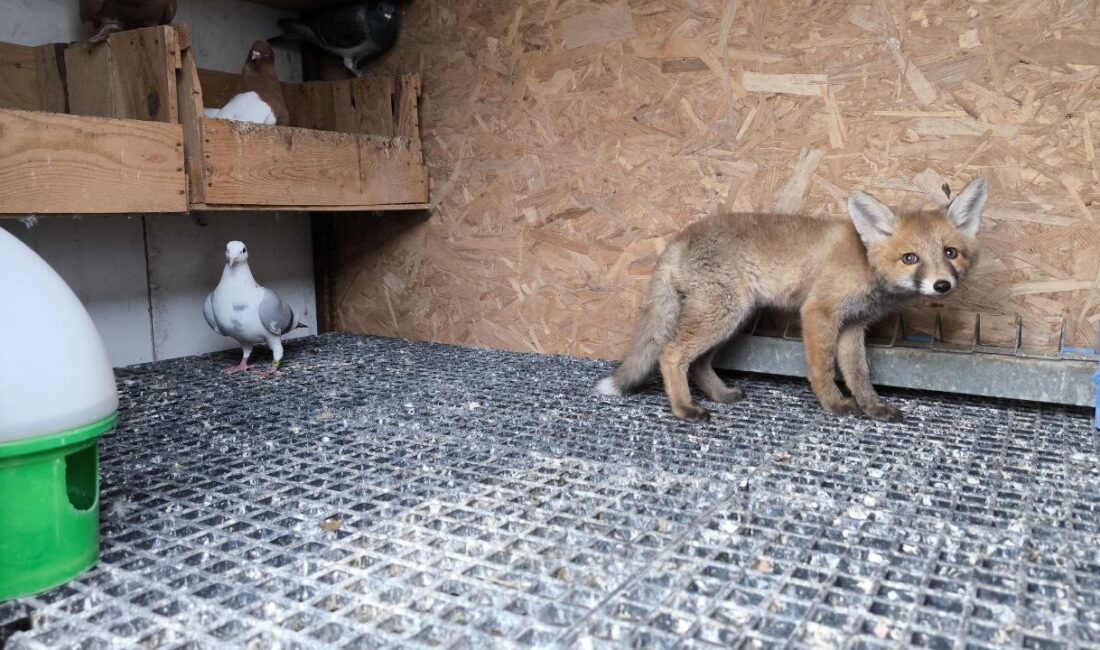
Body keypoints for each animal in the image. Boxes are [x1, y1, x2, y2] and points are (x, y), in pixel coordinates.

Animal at [598, 178, 994, 422]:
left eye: (950, 253)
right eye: (910, 258)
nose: (941, 285)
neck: (865, 263)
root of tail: (680, 237)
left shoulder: (852, 326)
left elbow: (859, 374)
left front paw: (873, 408)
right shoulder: (819, 313)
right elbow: (823, 369)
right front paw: (833, 404)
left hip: (732, 319)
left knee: (697, 363)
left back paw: (720, 395)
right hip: (722, 316)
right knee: (671, 354)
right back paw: (684, 409)